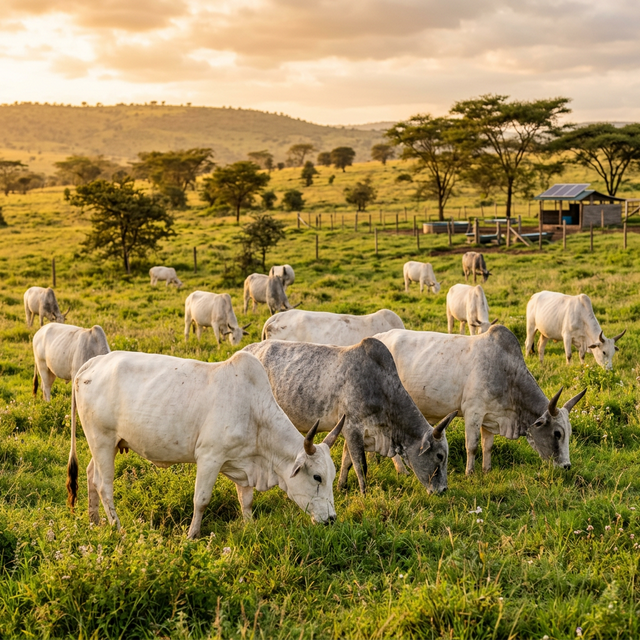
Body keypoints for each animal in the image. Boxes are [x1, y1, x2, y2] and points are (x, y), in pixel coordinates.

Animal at [66, 350, 346, 538]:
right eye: (317, 477)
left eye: (332, 476)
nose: (332, 519)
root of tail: (92, 363)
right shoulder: (210, 457)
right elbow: (201, 500)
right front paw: (192, 535)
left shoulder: (244, 464)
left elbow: (246, 500)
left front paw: (250, 526)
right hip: (102, 439)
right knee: (104, 485)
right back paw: (117, 528)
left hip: (105, 444)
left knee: (90, 474)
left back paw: (94, 521)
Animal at [244, 338, 456, 495]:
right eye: (439, 455)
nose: (443, 490)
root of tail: (247, 348)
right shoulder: (353, 428)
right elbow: (360, 465)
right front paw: (364, 494)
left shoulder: (352, 432)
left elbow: (347, 461)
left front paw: (341, 486)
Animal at [375, 326, 587, 475]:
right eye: (557, 433)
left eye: (569, 432)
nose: (567, 466)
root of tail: (378, 337)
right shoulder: (473, 413)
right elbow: (473, 446)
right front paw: (470, 472)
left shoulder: (490, 416)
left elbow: (488, 446)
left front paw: (487, 469)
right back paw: (402, 470)